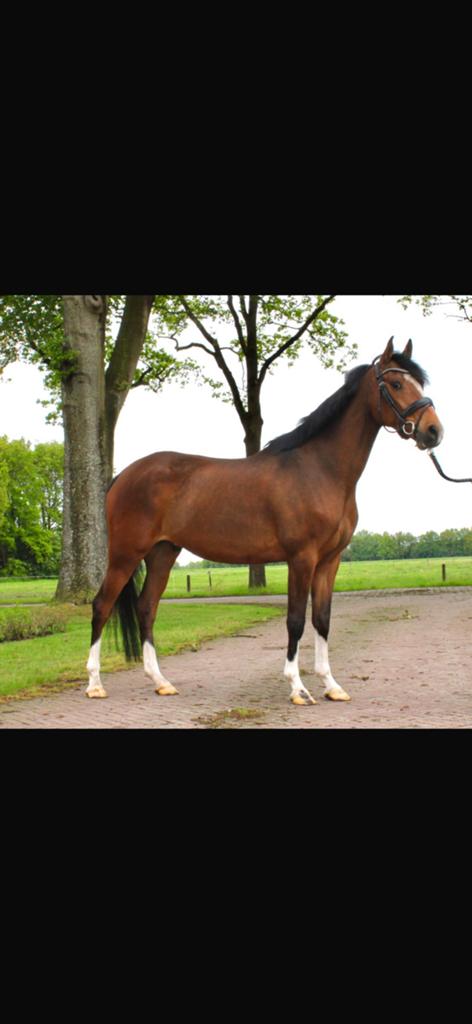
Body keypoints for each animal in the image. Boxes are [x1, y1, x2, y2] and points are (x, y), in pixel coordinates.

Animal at [86, 337, 444, 706]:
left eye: (420, 383)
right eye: (396, 383)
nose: (433, 431)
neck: (321, 470)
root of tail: (124, 475)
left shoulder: (330, 560)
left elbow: (322, 619)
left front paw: (331, 685)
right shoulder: (301, 558)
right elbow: (296, 620)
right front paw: (298, 688)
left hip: (163, 552)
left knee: (146, 608)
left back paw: (161, 681)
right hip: (126, 553)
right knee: (102, 605)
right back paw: (95, 684)